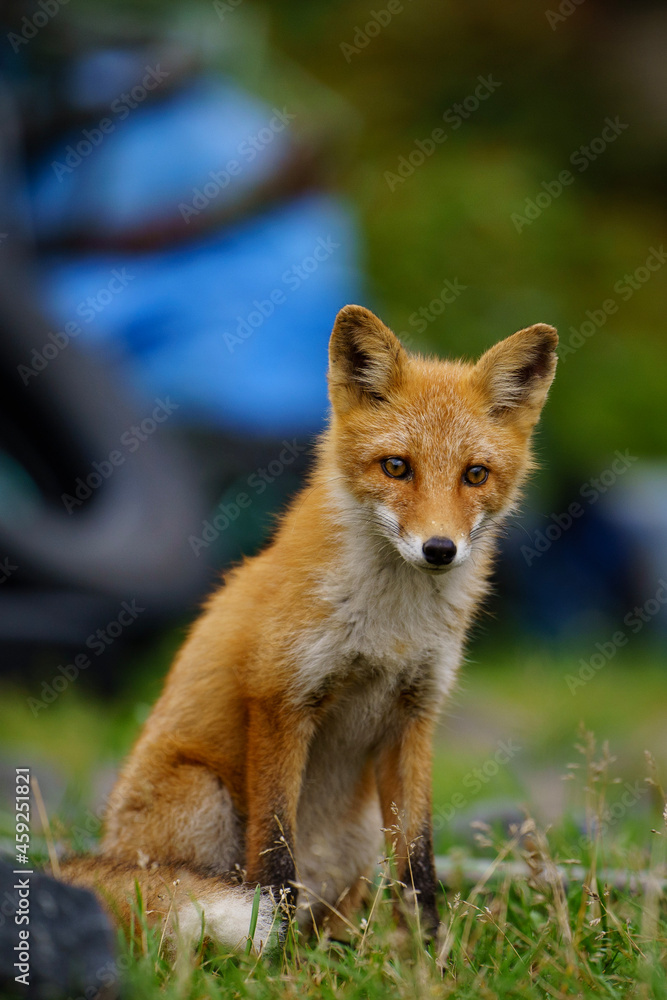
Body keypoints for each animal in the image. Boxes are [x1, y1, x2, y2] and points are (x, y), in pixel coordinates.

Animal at [61, 304, 560, 952]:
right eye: (396, 467)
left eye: (475, 474)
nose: (439, 549)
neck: (389, 628)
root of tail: (105, 848)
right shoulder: (281, 700)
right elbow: (275, 856)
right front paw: (272, 953)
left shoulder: (414, 717)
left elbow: (418, 862)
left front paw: (426, 954)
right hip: (207, 800)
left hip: (362, 830)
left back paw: (338, 946)